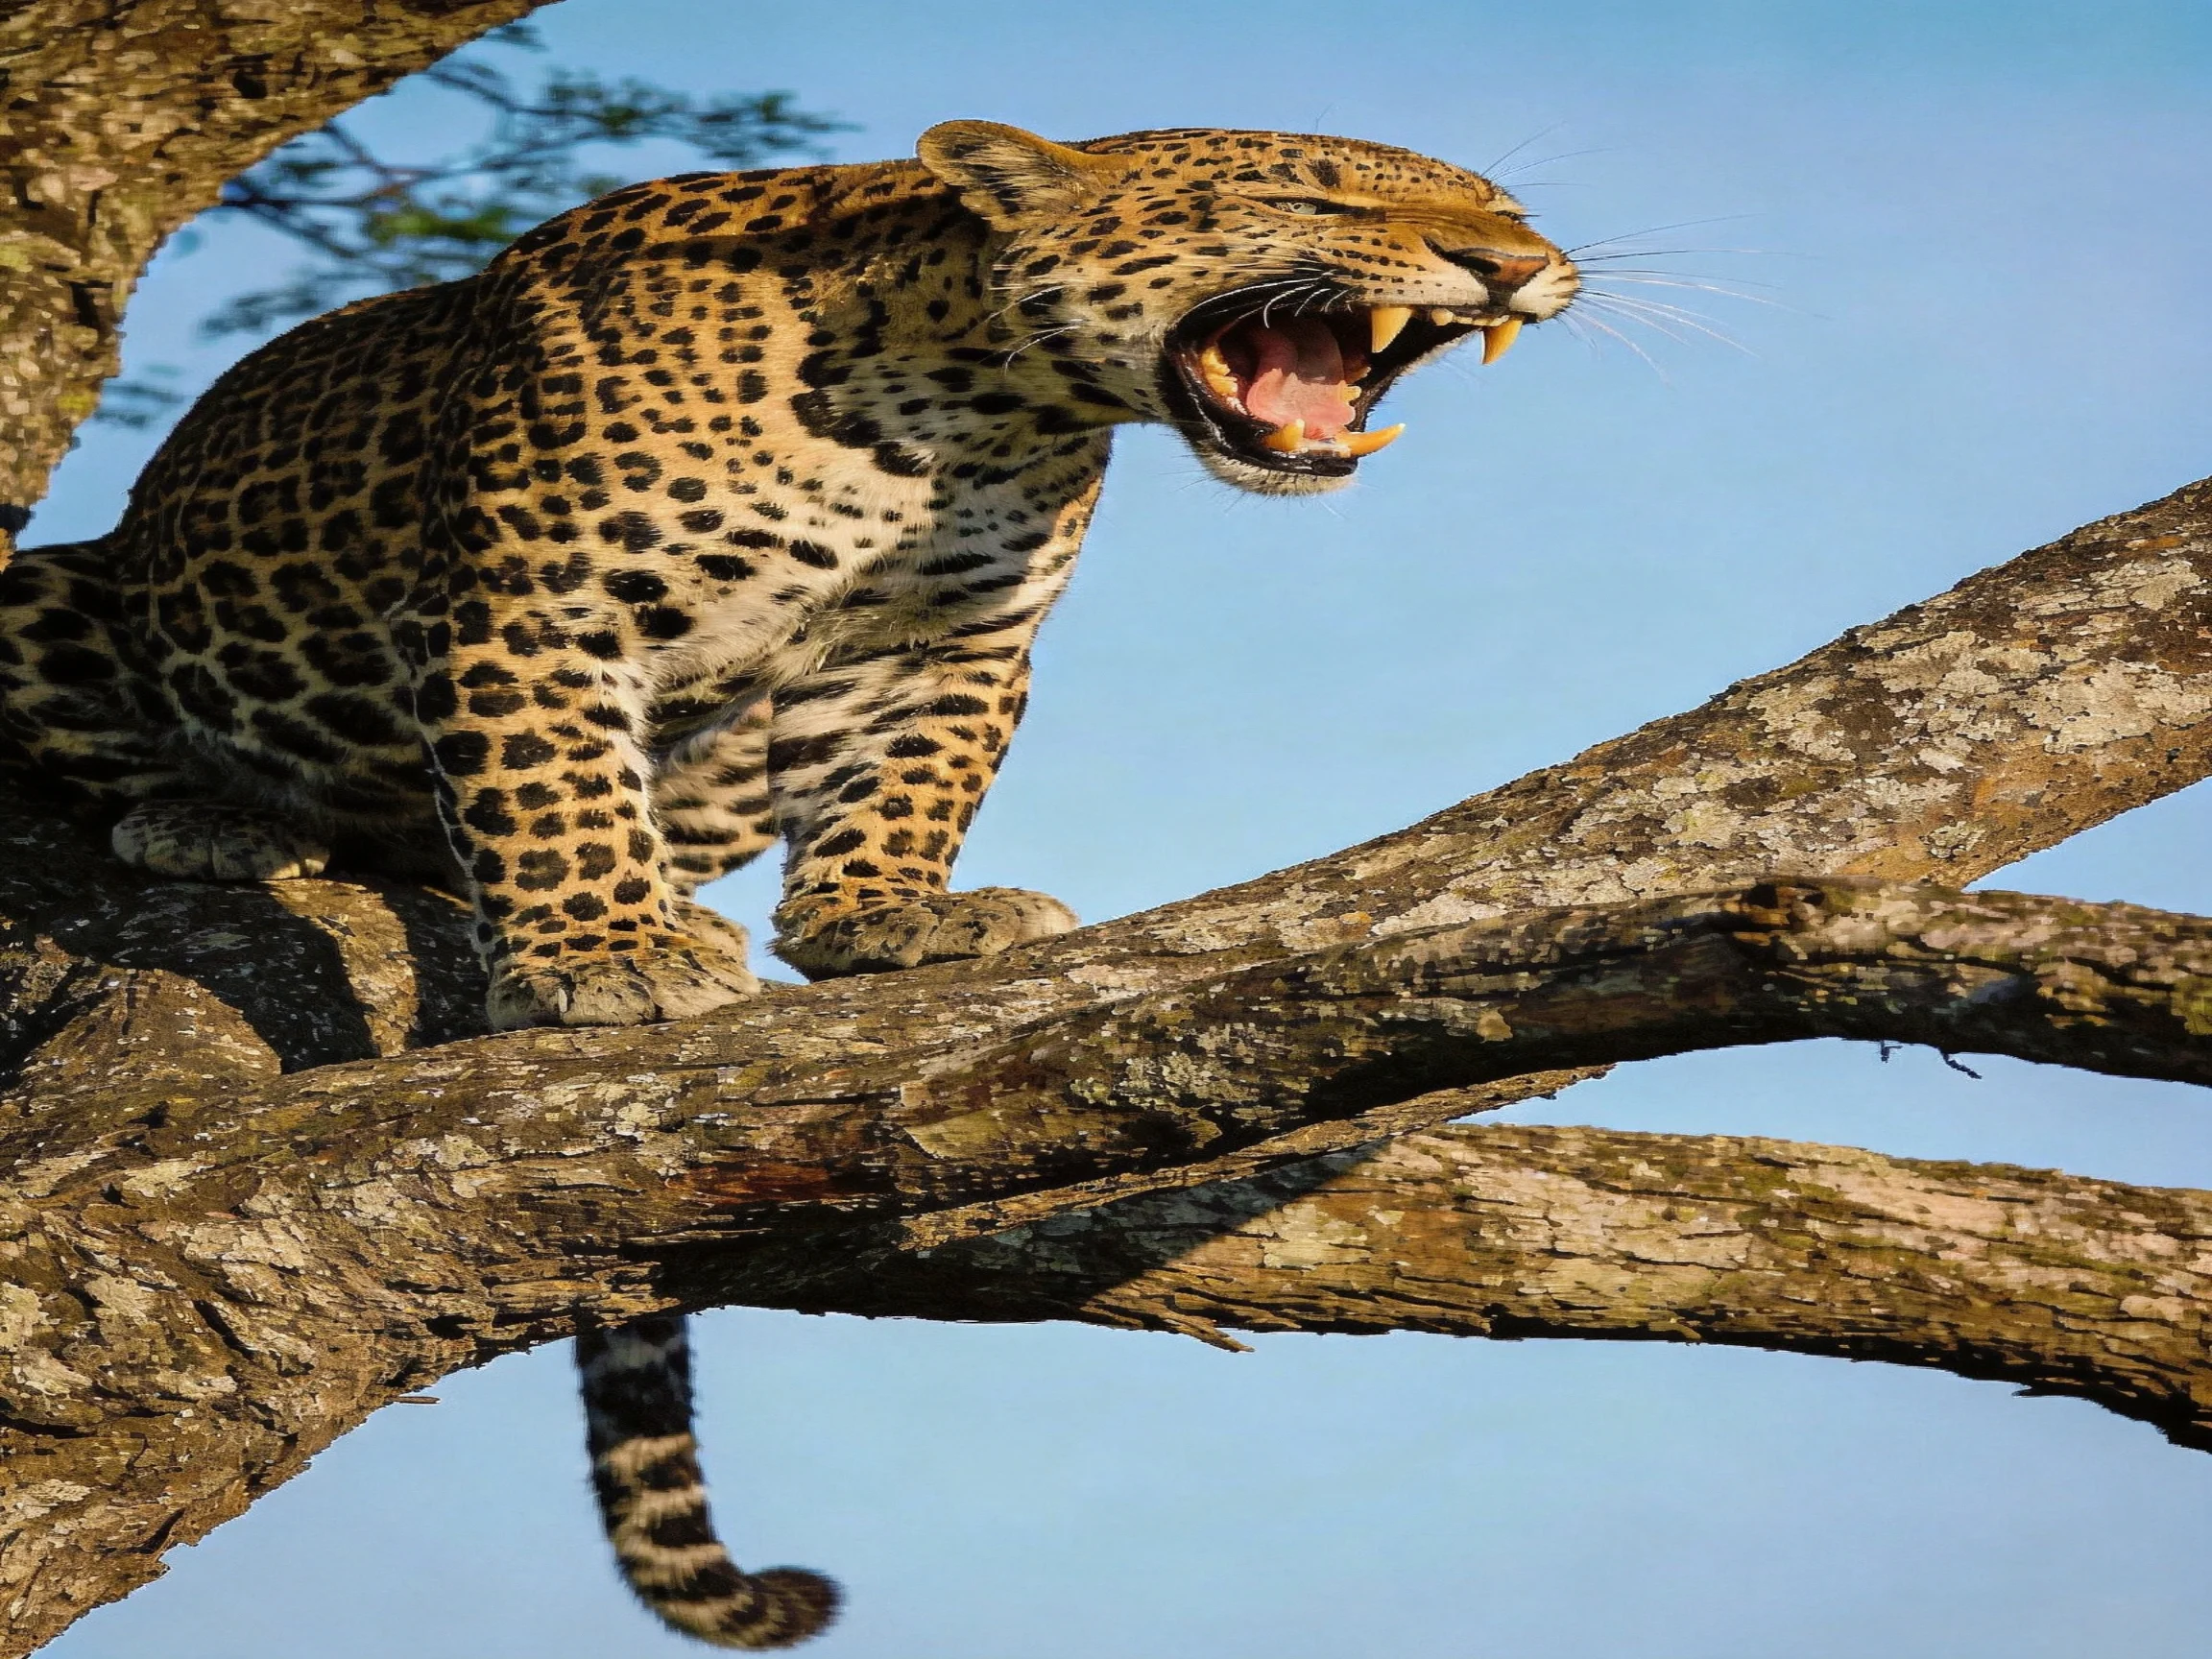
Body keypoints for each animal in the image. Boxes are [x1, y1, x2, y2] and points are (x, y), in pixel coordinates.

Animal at [0, 122, 1577, 1647]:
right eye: (1308, 190)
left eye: (1503, 207)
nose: (1514, 265)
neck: (968, 410)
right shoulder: (530, 608)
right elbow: (550, 783)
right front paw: (601, 954)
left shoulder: (940, 643)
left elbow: (907, 780)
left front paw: (888, 918)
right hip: (54, 595)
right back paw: (221, 818)